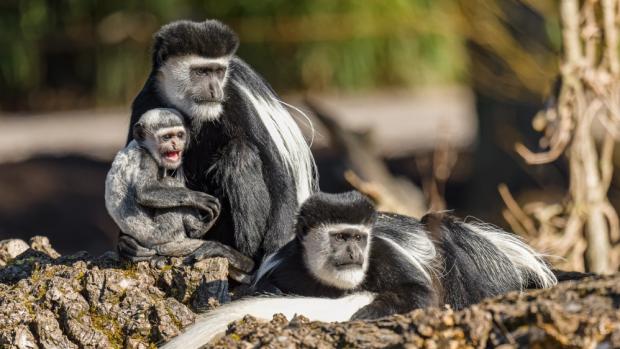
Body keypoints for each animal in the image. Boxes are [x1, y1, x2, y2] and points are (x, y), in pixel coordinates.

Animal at [105, 109, 253, 274]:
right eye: (167, 137)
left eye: (179, 135)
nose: (175, 143)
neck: (141, 145)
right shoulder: (145, 158)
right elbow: (144, 192)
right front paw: (196, 198)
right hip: (162, 232)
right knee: (169, 186)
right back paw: (198, 229)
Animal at [120, 19, 314, 266]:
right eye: (201, 72)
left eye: (219, 72)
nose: (214, 90)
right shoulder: (146, 102)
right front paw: (127, 245)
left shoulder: (235, 98)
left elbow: (277, 171)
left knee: (240, 154)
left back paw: (239, 257)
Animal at [161, 190, 556, 348]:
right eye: (338, 239)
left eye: (358, 239)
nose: (353, 252)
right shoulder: (281, 268)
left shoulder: (383, 253)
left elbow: (419, 293)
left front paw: (365, 313)